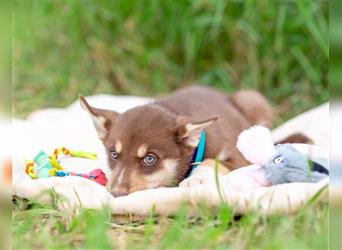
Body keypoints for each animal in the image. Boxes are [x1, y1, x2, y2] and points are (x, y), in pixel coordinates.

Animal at [79, 86, 272, 197]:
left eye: (149, 158)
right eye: (113, 154)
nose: (116, 194)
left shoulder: (238, 157)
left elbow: (210, 161)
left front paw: (196, 180)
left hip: (253, 100)